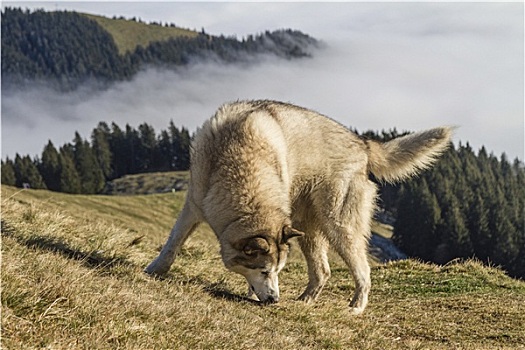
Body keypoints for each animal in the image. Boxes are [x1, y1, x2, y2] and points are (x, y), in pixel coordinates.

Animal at [145, 100, 452, 314]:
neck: (238, 158)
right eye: (265, 271)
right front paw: (155, 270)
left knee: (363, 270)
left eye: (277, 271)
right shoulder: (194, 204)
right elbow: (173, 243)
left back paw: (356, 306)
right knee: (323, 271)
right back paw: (305, 300)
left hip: (338, 225)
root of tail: (363, 144)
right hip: (307, 229)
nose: (274, 300)